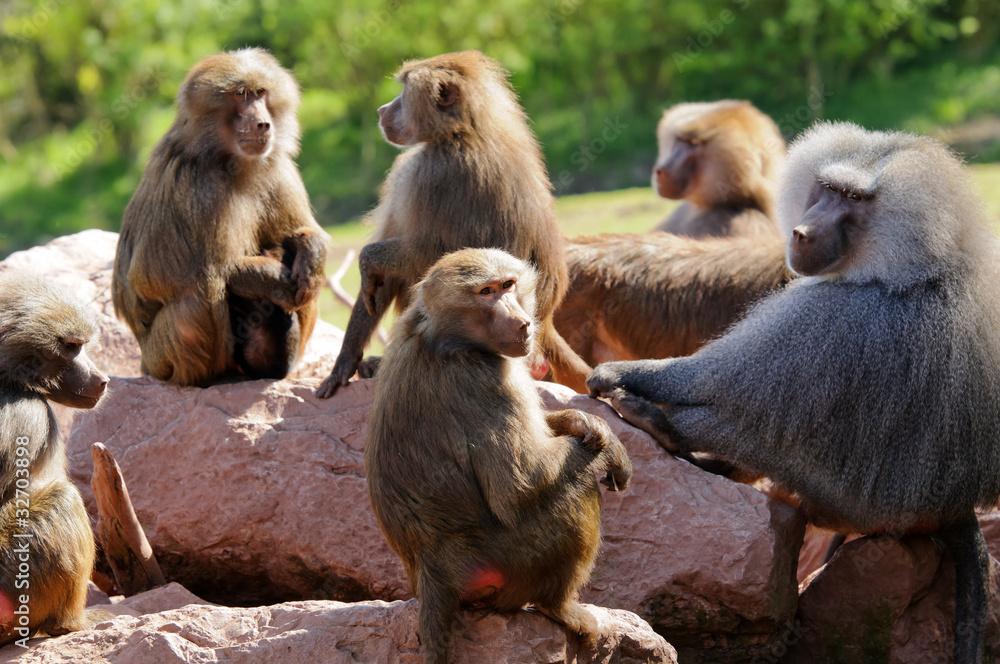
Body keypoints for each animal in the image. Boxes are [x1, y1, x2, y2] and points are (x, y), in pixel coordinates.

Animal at [0, 272, 108, 645]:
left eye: (81, 344)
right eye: (71, 346)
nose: (103, 380)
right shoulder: (29, 413)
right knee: (64, 497)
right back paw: (70, 623)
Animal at [113, 47, 327, 386]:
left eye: (260, 92)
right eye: (240, 95)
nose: (262, 124)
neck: (229, 159)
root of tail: (147, 364)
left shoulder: (277, 168)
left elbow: (299, 235)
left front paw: (311, 255)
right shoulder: (192, 184)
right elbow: (155, 276)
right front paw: (272, 278)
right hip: (161, 360)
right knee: (199, 294)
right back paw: (210, 378)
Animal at [316, 50, 591, 398]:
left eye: (403, 91)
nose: (381, 110)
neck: (465, 130)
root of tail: (545, 321)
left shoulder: (429, 174)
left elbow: (428, 257)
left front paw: (367, 261)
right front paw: (345, 361)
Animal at [366, 248, 632, 664]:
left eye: (508, 285)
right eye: (485, 292)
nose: (523, 323)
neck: (440, 335)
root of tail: (430, 571)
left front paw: (588, 425)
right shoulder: (487, 378)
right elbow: (518, 489)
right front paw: (606, 448)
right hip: (514, 560)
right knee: (576, 491)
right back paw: (560, 607)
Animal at [589, 122, 1000, 664]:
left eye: (854, 199)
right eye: (827, 188)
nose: (802, 233)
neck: (922, 263)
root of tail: (956, 506)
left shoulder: (832, 314)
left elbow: (709, 379)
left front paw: (619, 373)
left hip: (857, 506)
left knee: (758, 421)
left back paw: (662, 427)